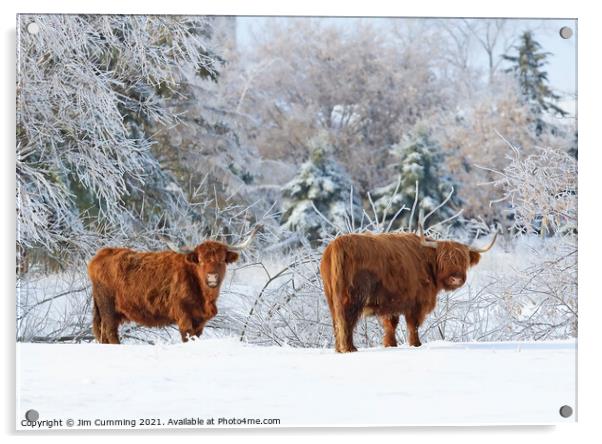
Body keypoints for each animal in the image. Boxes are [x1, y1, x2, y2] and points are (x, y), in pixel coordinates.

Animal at [87, 227, 258, 346]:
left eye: (222, 260)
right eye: (201, 260)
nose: (212, 277)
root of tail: (102, 254)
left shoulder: (200, 321)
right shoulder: (184, 316)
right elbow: (187, 338)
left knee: (103, 334)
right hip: (107, 308)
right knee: (110, 332)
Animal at [316, 227, 494, 352]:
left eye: (463, 260)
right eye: (444, 259)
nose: (455, 278)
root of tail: (337, 244)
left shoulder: (390, 302)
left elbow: (390, 325)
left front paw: (390, 345)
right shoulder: (416, 302)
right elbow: (413, 325)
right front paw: (416, 344)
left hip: (332, 299)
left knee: (337, 322)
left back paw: (339, 349)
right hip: (352, 297)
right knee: (346, 321)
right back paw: (350, 349)